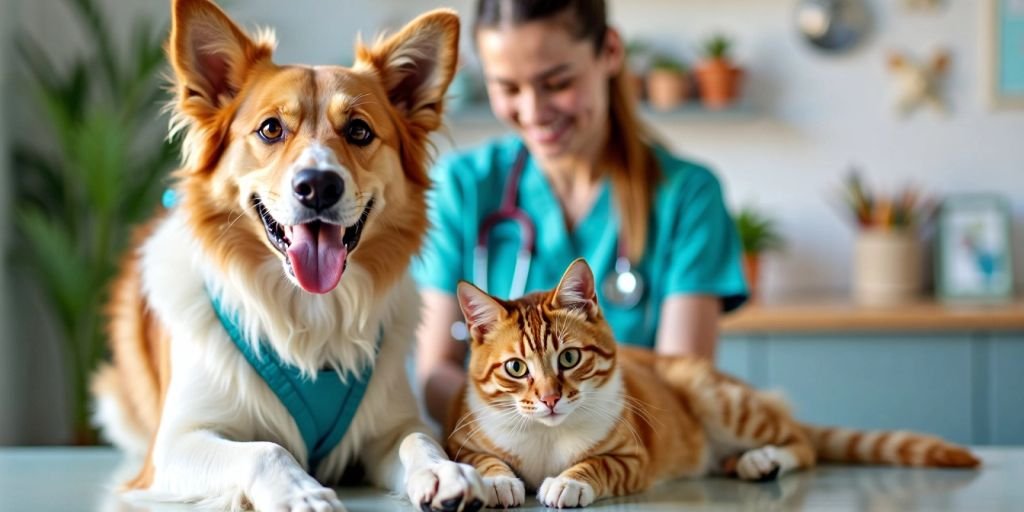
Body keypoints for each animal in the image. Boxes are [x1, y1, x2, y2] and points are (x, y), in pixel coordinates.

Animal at [90, 2, 485, 509]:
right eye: (271, 129)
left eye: (359, 130)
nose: (318, 185)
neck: (309, 310)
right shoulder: (173, 446)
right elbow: (265, 448)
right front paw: (302, 490)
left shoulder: (389, 426)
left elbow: (418, 438)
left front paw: (445, 471)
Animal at [446, 260, 974, 507]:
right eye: (517, 369)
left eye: (569, 358)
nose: (551, 398)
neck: (547, 436)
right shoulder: (465, 440)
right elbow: (483, 461)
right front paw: (497, 481)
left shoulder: (631, 457)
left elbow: (596, 465)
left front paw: (568, 482)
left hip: (715, 396)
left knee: (801, 443)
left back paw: (762, 458)